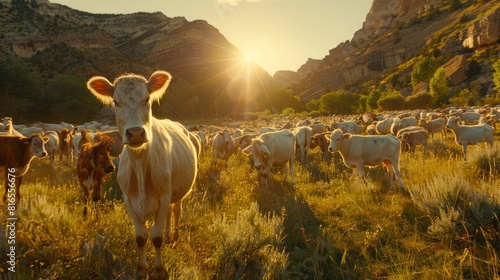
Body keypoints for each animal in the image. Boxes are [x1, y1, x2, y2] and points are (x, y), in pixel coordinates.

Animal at [86, 70, 197, 278]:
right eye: (116, 102)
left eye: (147, 99)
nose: (136, 133)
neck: (139, 165)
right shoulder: (129, 199)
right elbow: (141, 236)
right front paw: (141, 270)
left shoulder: (164, 196)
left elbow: (156, 237)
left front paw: (159, 270)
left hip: (178, 193)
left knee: (176, 211)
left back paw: (174, 236)